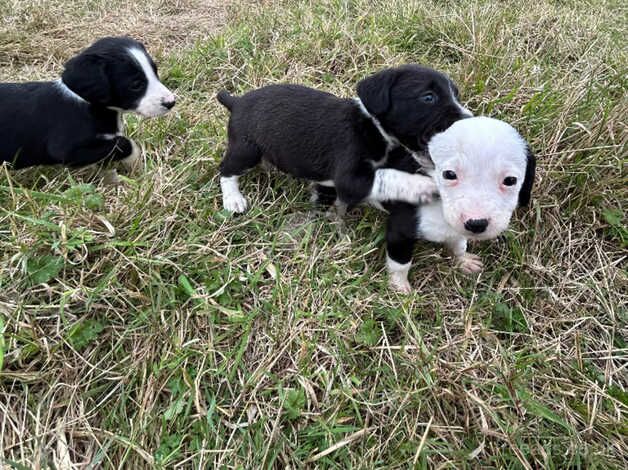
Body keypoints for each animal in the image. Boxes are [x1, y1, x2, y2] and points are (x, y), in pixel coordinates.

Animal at [1, 35, 177, 171]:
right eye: (136, 84)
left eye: (155, 72)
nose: (171, 102)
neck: (89, 107)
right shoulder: (67, 150)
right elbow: (125, 143)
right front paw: (135, 163)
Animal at [216, 63, 472, 213]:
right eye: (428, 97)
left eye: (456, 94)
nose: (468, 119)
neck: (372, 126)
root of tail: (236, 102)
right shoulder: (350, 179)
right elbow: (387, 176)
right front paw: (422, 186)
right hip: (246, 150)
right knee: (225, 170)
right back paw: (233, 199)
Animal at [382, 117, 536, 292]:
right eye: (449, 174)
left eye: (510, 180)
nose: (476, 223)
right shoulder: (400, 231)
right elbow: (400, 264)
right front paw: (399, 286)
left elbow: (459, 245)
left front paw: (463, 260)